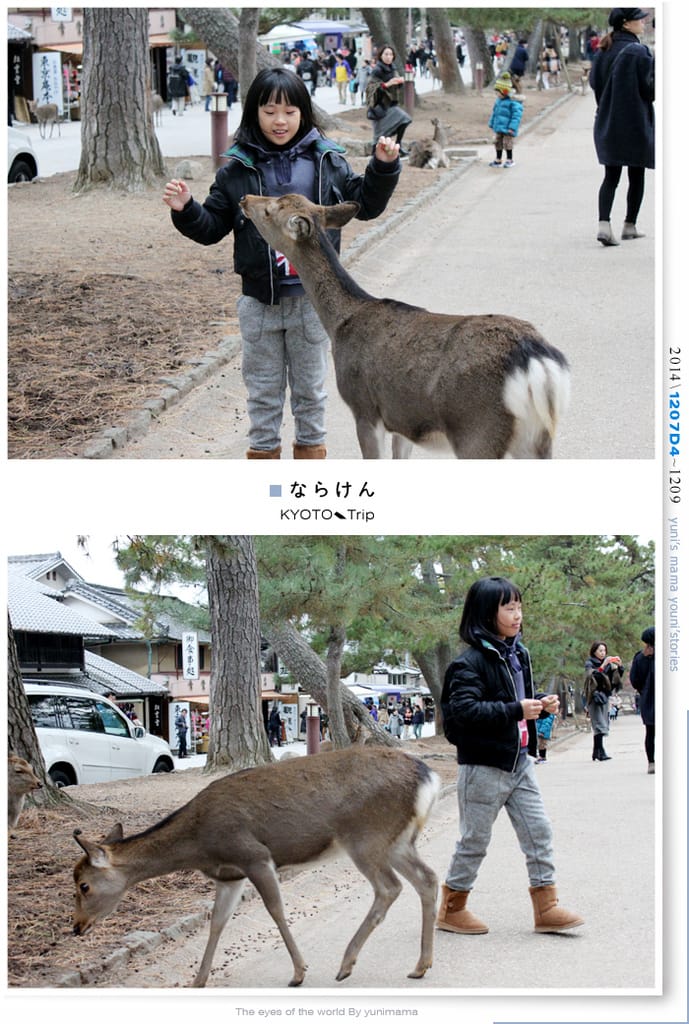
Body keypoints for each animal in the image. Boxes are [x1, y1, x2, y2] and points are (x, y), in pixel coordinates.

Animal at [72, 746, 440, 988]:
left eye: (83, 885)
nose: (76, 927)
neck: (200, 845)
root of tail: (428, 777)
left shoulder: (254, 856)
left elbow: (276, 910)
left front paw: (299, 972)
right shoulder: (229, 876)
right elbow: (217, 922)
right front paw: (198, 980)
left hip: (366, 837)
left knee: (390, 888)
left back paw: (346, 964)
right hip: (398, 841)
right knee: (428, 878)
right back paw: (420, 965)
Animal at [239, 193, 570, 459]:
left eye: (270, 210)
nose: (245, 198)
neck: (340, 324)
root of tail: (536, 360)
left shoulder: (364, 408)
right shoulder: (402, 420)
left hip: (477, 430)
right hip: (537, 438)